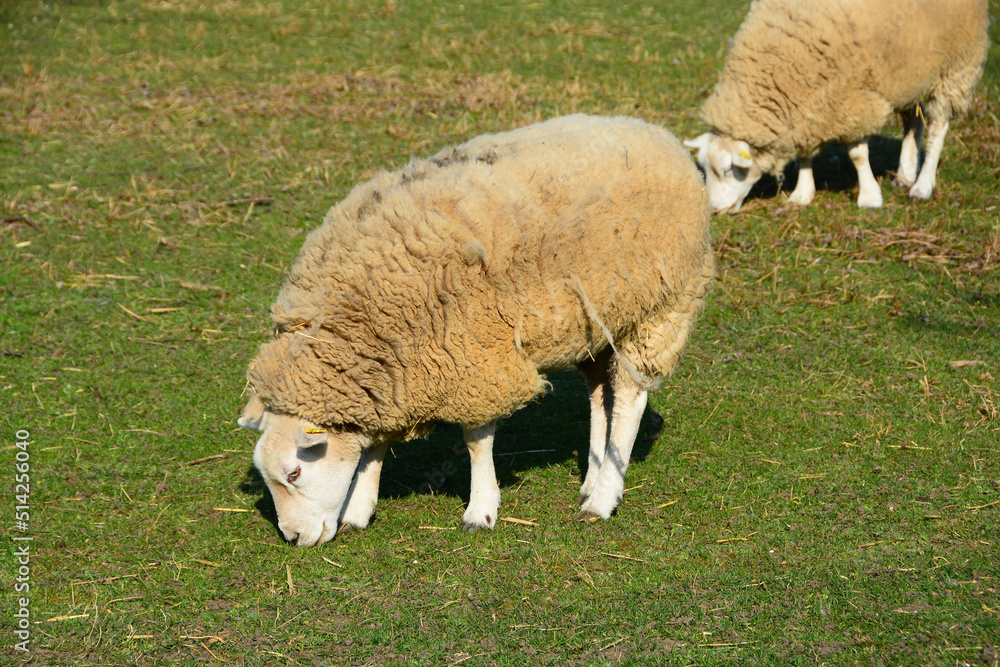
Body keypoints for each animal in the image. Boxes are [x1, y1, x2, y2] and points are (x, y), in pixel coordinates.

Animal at [238, 114, 715, 546]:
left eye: (294, 472)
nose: (294, 537)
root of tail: (657, 133)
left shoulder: (475, 356)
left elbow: (476, 440)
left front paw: (481, 509)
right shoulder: (393, 379)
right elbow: (372, 447)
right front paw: (358, 509)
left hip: (659, 306)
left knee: (631, 400)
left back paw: (603, 497)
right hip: (597, 322)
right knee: (601, 395)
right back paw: (592, 477)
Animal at [684, 0, 989, 213]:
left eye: (728, 170)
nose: (714, 210)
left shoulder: (853, 98)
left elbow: (857, 155)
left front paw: (869, 197)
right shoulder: (808, 108)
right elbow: (805, 153)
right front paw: (802, 193)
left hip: (955, 66)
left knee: (938, 126)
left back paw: (922, 186)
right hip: (907, 73)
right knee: (913, 122)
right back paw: (904, 175)